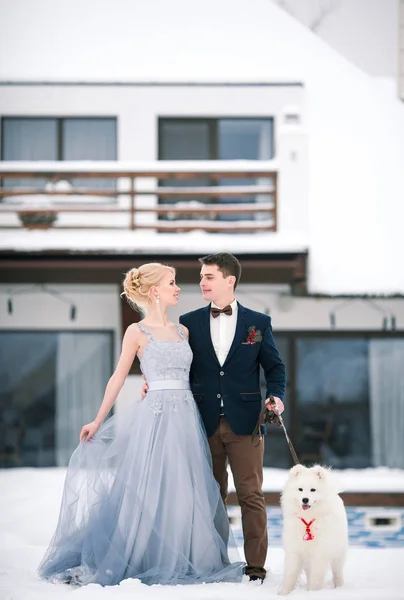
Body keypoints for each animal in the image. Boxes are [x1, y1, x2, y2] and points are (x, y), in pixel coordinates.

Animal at [278, 464, 348, 596]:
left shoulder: (320, 554)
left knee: (337, 572)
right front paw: (283, 594)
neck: (308, 517)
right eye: (300, 489)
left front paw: (312, 593)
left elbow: (316, 578)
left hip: (338, 553)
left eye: (313, 490)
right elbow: (290, 574)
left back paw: (340, 587)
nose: (305, 499)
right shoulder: (294, 550)